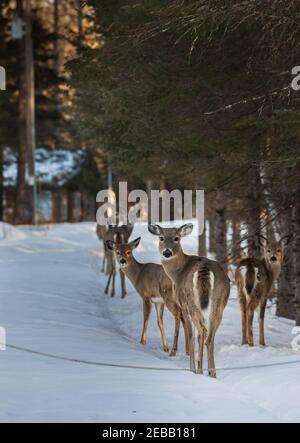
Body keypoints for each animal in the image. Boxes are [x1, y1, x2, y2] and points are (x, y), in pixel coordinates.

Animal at [148, 224, 230, 380]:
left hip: (191, 301)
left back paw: (197, 370)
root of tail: (205, 268)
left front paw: (194, 368)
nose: (167, 252)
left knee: (200, 332)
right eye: (161, 238)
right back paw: (212, 373)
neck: (177, 272)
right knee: (208, 338)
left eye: (176, 238)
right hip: (219, 300)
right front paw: (202, 368)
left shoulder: (182, 303)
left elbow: (190, 333)